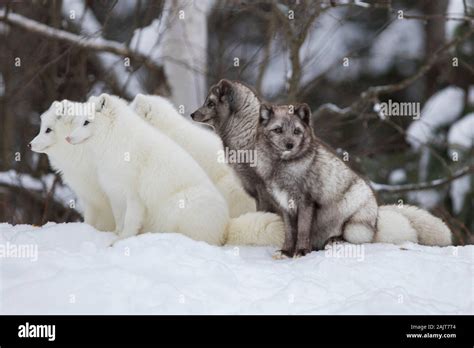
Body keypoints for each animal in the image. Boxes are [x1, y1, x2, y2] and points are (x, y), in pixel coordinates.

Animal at [65, 94, 284, 246]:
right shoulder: (115, 193)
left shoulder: (133, 195)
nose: (68, 138)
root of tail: (225, 228)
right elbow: (120, 222)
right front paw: (116, 236)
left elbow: (130, 222)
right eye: (78, 121)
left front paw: (121, 242)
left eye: (86, 122)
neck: (113, 141)